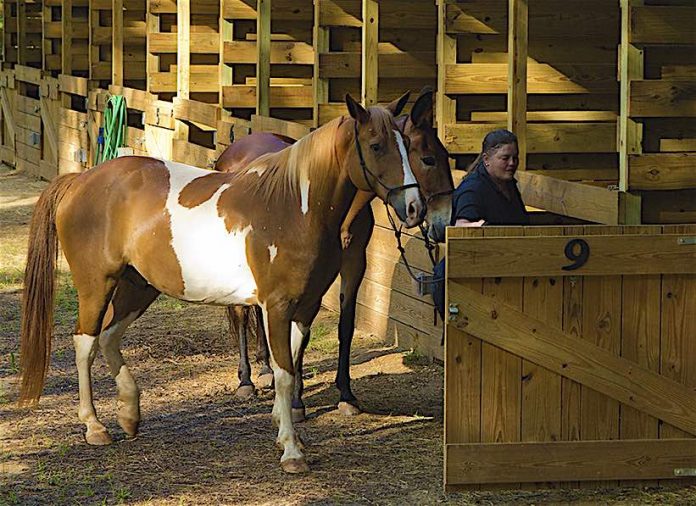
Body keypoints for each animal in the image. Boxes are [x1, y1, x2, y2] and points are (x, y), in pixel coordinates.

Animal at [17, 93, 424, 472]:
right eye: (376, 145)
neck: (294, 206)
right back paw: (94, 426)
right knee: (85, 343)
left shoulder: (304, 307)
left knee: (109, 337)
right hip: (97, 285)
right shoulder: (276, 307)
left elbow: (292, 363)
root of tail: (80, 180)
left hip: (139, 286)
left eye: (407, 144)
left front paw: (284, 429)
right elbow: (283, 372)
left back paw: (129, 414)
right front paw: (292, 451)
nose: (415, 207)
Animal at [218, 87, 456, 420]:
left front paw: (346, 394)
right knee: (241, 314)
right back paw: (247, 380)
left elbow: (345, 325)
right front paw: (296, 400)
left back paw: (266, 369)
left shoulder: (354, 264)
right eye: (428, 158)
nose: (442, 218)